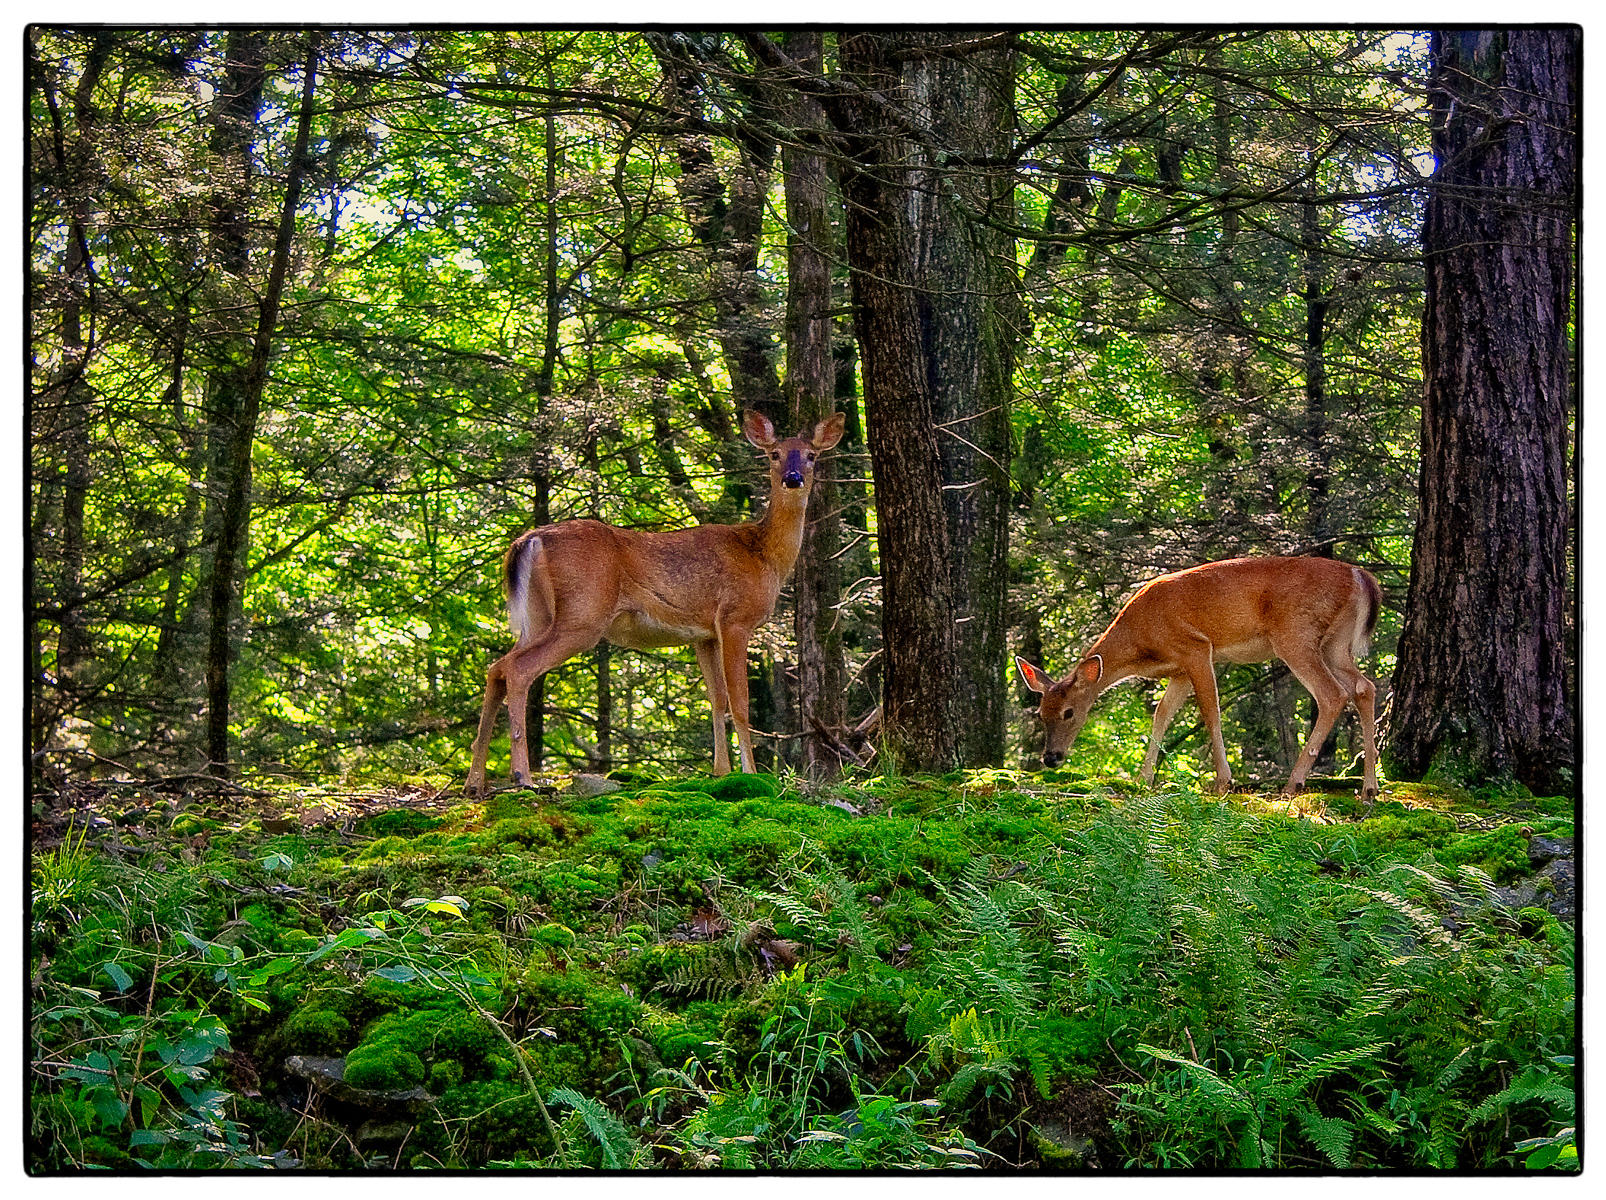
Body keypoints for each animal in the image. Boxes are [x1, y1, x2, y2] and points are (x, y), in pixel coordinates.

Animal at [465, 411, 847, 796]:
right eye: (774, 454)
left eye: (811, 455)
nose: (793, 478)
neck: (763, 554)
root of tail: (529, 539)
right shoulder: (735, 618)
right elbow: (740, 702)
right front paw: (750, 773)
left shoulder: (705, 633)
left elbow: (716, 699)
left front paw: (720, 771)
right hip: (584, 613)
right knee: (517, 669)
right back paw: (522, 777)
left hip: (539, 614)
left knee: (497, 667)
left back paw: (475, 781)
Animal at [1014, 559, 1381, 803]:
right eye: (1041, 714)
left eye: (1069, 713)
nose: (1051, 758)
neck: (1141, 642)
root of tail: (1360, 576)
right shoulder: (1178, 670)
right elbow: (1161, 715)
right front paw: (1143, 778)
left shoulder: (1197, 648)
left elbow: (1210, 711)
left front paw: (1223, 781)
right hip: (1336, 642)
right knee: (1365, 687)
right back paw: (1369, 787)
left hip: (1295, 633)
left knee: (1332, 694)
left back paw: (1294, 784)